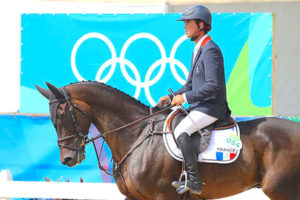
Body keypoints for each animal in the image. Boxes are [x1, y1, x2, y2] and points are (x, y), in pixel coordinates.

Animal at [36, 81, 300, 200]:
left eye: (62, 114)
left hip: (282, 190)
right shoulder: (134, 197)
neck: (136, 136)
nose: (68, 158)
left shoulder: (162, 196)